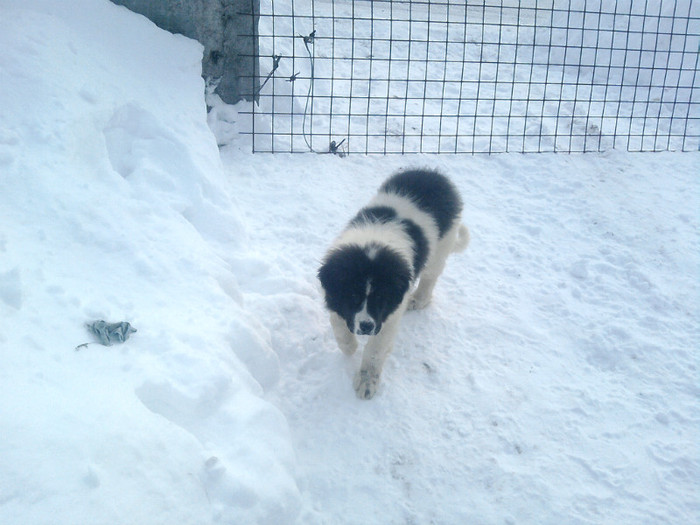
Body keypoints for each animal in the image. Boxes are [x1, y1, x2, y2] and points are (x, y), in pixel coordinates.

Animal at [320, 170, 468, 400]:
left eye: (381, 298)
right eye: (352, 296)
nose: (366, 326)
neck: (373, 241)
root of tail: (436, 175)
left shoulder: (388, 315)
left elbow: (375, 349)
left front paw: (366, 382)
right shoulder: (334, 295)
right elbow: (338, 323)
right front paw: (349, 346)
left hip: (443, 243)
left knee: (430, 276)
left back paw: (418, 299)